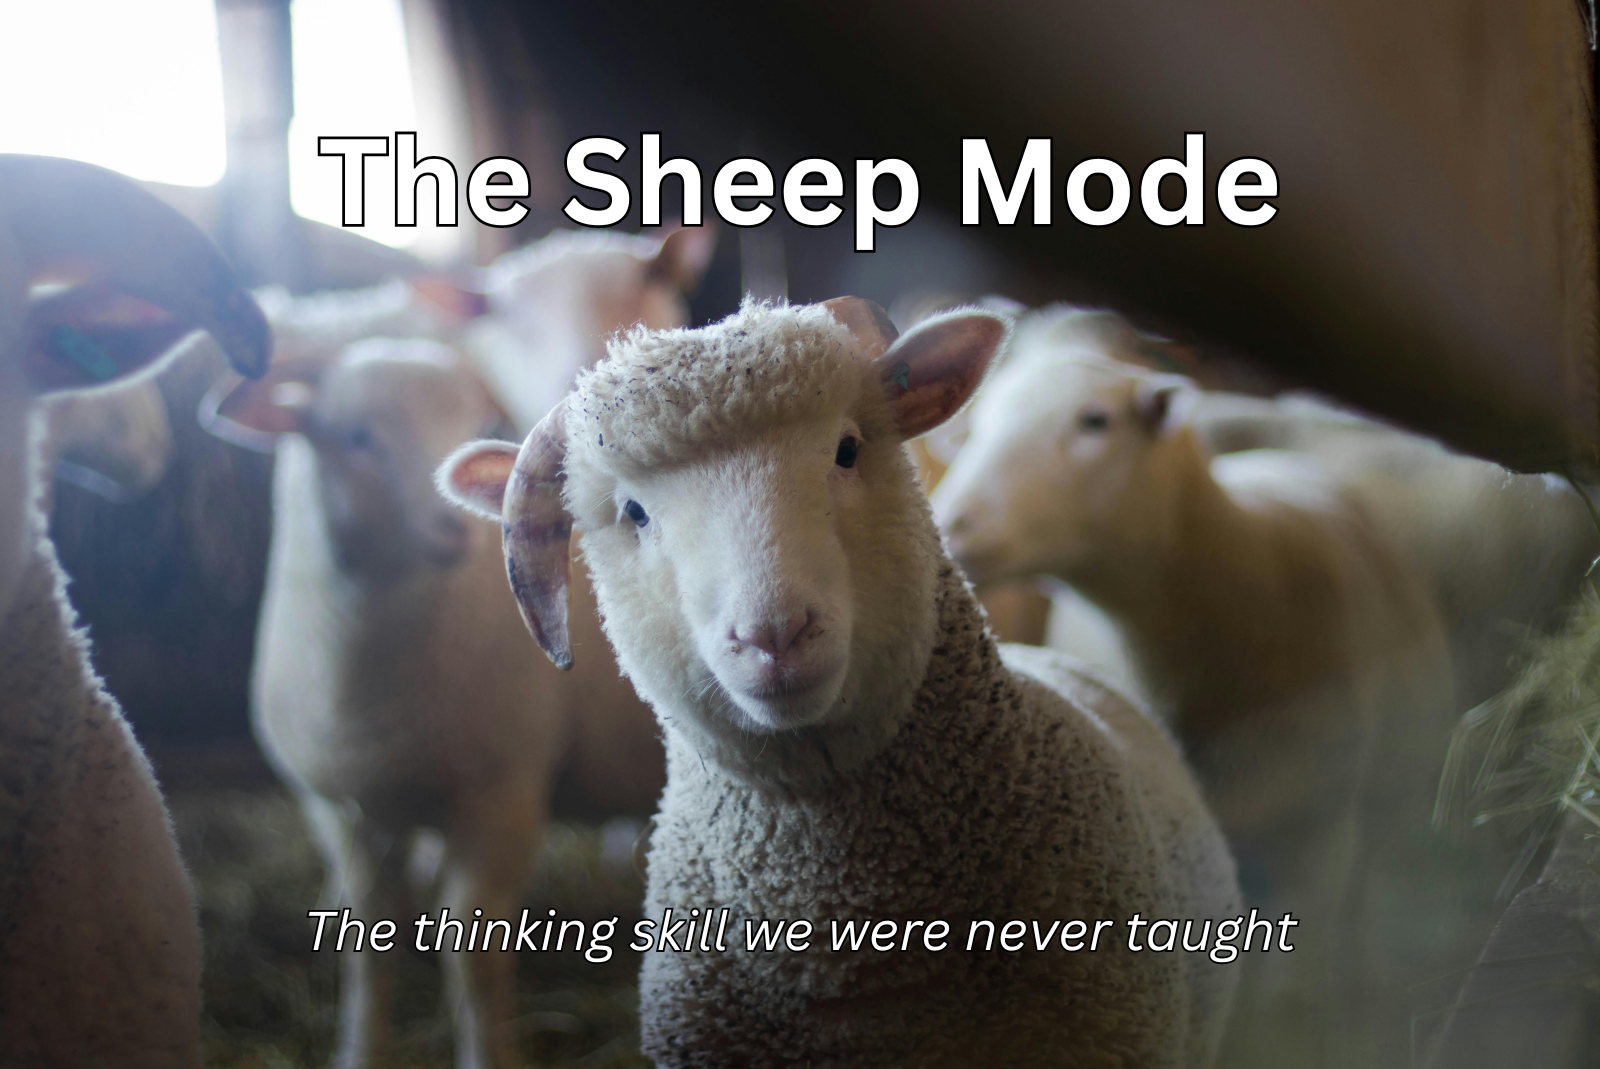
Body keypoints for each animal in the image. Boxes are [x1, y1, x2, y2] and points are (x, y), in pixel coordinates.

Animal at [202, 338, 563, 1069]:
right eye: (357, 437)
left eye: (475, 421)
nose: (456, 528)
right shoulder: (344, 808)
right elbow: (367, 941)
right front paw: (360, 1049)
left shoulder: (506, 790)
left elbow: (476, 956)